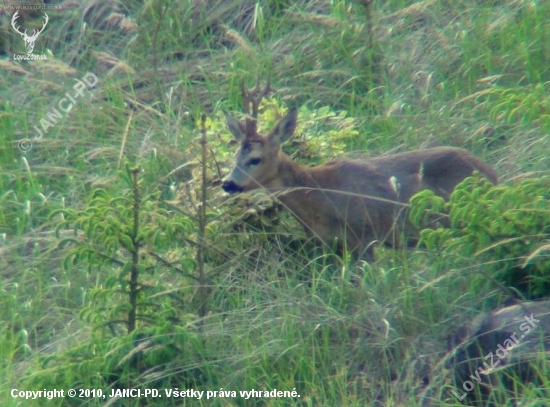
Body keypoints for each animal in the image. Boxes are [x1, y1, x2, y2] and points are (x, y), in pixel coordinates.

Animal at [223, 82, 500, 262]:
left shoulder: (367, 235)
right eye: (235, 156)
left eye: (255, 159)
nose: (228, 184)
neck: (320, 194)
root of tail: (491, 174)